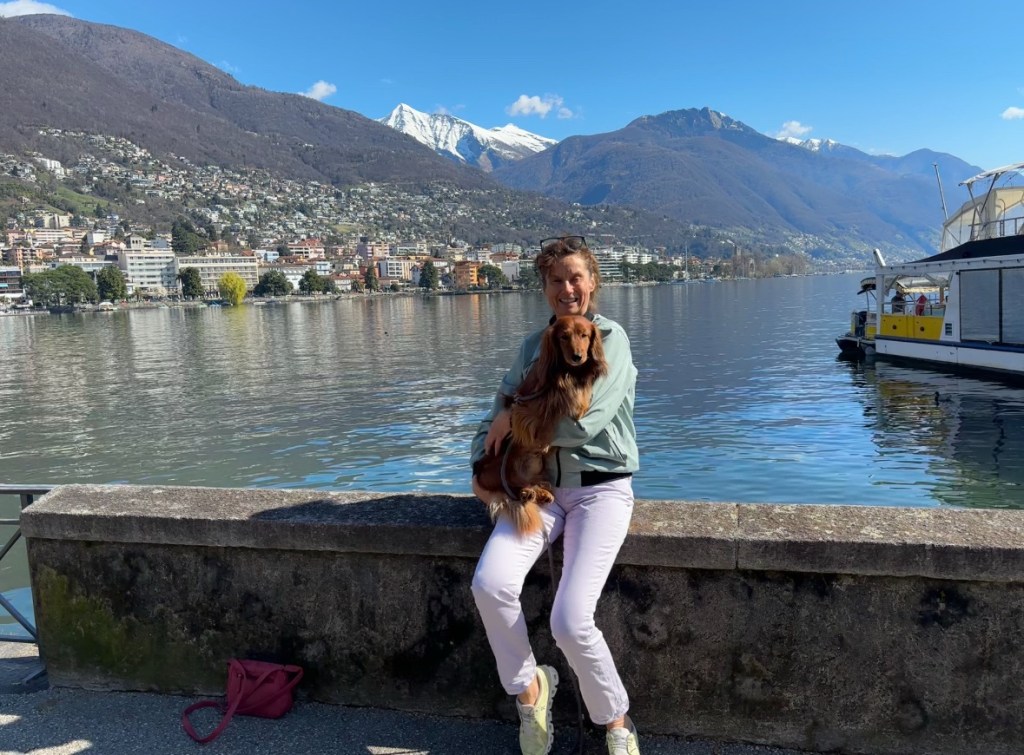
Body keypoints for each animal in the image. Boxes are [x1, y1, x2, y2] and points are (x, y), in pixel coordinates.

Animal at [473, 315, 607, 535]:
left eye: (584, 335)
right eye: (563, 337)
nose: (577, 357)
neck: (567, 372)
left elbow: (574, 402)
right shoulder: (526, 405)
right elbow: (544, 417)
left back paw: (538, 493)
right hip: (496, 469)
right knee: (511, 487)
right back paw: (529, 493)